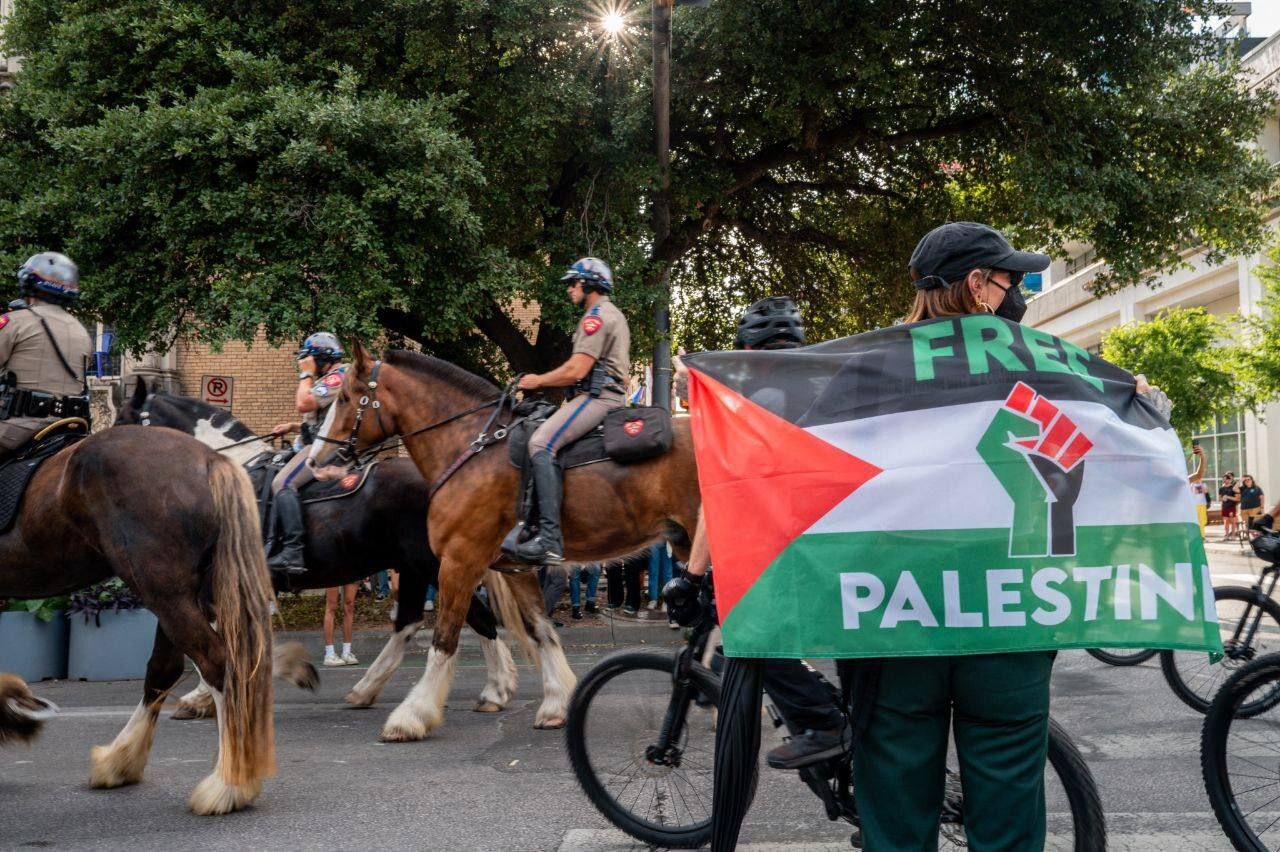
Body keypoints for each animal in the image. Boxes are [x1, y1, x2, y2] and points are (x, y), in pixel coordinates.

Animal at [0, 427, 275, 813]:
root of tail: (210, 459)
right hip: (179, 593)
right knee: (166, 669)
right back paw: (120, 761)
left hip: (162, 590)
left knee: (216, 664)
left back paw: (227, 786)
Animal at [309, 342, 701, 741]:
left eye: (344, 397)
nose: (316, 458)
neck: (472, 448)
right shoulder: (515, 569)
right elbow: (541, 630)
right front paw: (555, 704)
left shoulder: (459, 560)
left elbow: (445, 638)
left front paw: (412, 715)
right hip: (686, 543)